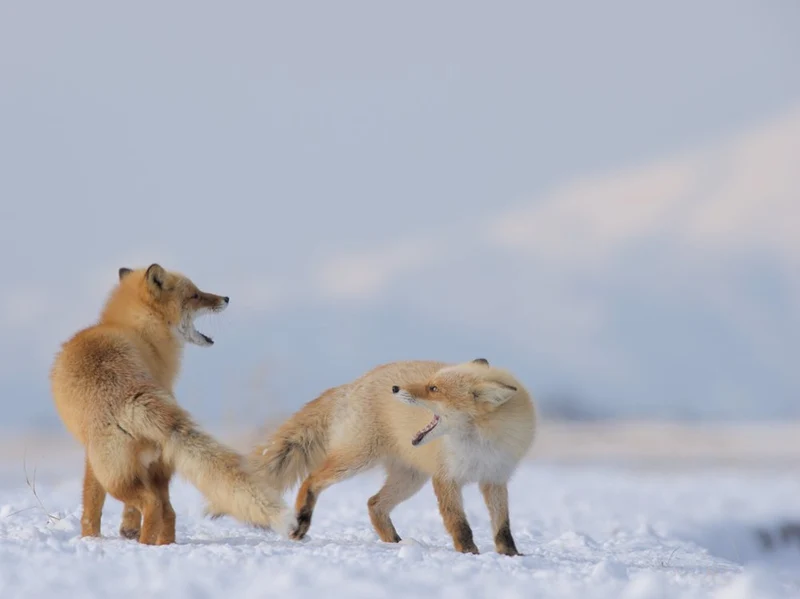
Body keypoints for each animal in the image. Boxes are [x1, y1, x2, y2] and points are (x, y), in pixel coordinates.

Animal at [49, 263, 290, 545]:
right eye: (196, 295)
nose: (226, 298)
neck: (136, 331)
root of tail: (132, 397)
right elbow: (92, 504)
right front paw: (93, 537)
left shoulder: (93, 459)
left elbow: (92, 501)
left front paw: (92, 538)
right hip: (145, 469)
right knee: (167, 511)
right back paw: (163, 543)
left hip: (116, 476)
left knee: (152, 504)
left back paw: (144, 545)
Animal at [247, 358, 536, 555]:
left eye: (433, 388)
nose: (396, 389)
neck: (480, 445)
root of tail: (353, 384)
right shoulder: (445, 477)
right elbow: (458, 522)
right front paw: (468, 553)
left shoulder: (495, 479)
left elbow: (502, 525)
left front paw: (511, 555)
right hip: (357, 459)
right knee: (312, 478)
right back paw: (302, 520)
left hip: (409, 479)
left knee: (373, 503)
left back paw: (394, 543)